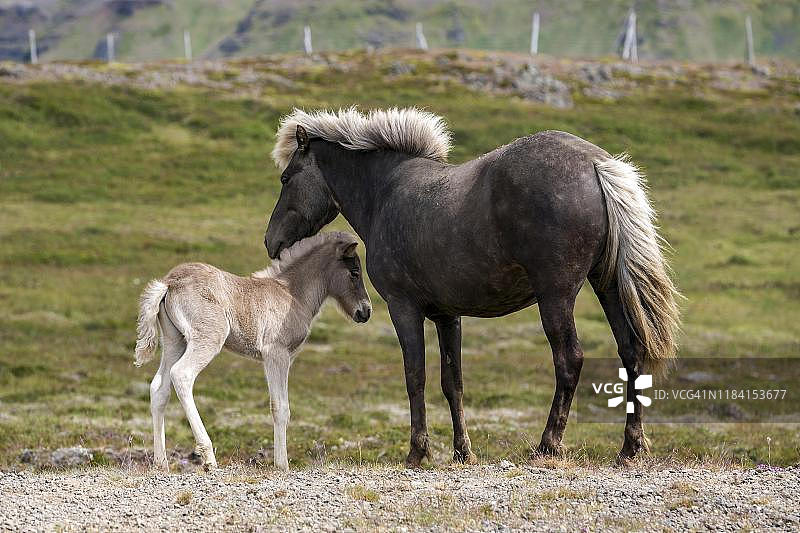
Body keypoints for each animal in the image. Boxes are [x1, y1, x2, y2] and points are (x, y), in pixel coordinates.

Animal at [134, 232, 372, 471]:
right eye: (354, 272)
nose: (366, 311)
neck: (292, 294)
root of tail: (169, 282)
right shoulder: (276, 354)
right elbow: (280, 407)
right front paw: (282, 465)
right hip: (208, 338)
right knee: (181, 374)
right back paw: (208, 457)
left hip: (175, 341)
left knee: (159, 388)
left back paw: (161, 462)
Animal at [263, 107, 680, 467]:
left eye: (286, 178)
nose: (271, 241)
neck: (386, 193)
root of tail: (595, 163)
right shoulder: (448, 316)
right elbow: (453, 383)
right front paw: (463, 452)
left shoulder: (403, 308)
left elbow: (415, 377)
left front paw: (417, 452)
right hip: (607, 286)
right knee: (631, 352)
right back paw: (630, 447)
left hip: (556, 297)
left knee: (570, 359)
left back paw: (548, 445)